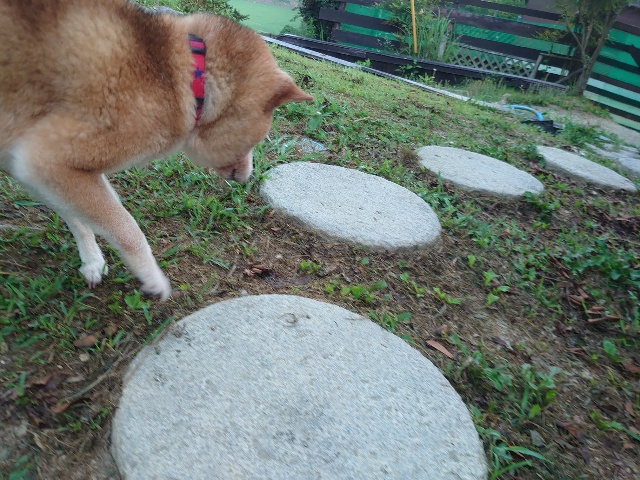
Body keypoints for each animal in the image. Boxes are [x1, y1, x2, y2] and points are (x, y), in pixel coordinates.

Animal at [0, 0, 313, 300]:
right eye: (258, 141)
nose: (248, 177)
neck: (187, 76)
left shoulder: (29, 163)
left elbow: (79, 215)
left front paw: (92, 262)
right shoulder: (47, 158)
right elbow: (126, 228)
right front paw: (152, 278)